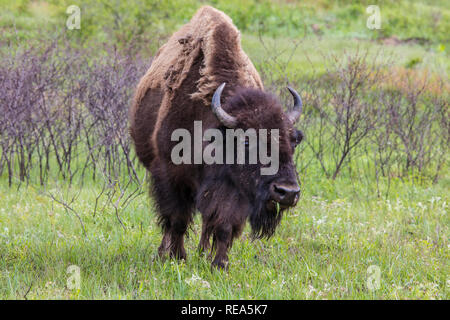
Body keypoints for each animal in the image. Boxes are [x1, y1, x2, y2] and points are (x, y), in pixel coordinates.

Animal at [130, 6, 306, 268]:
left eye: (293, 140)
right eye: (246, 140)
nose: (287, 192)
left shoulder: (234, 190)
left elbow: (224, 226)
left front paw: (219, 264)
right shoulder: (171, 176)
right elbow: (177, 220)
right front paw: (177, 258)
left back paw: (203, 252)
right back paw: (165, 252)